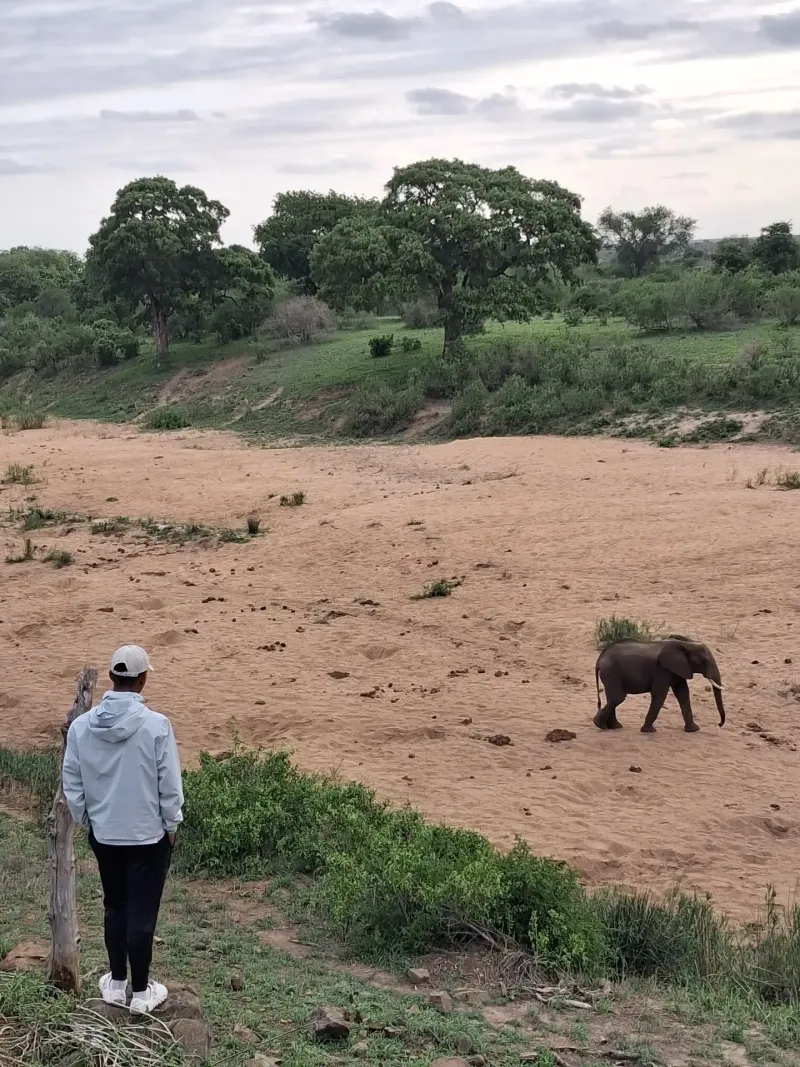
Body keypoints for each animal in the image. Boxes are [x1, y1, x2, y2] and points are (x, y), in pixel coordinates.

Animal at [593, 635, 726, 733]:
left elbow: (683, 693)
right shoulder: (662, 669)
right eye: (703, 661)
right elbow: (660, 694)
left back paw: (614, 726)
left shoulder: (678, 668)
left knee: (612, 698)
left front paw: (693, 730)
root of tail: (599, 659)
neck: (686, 644)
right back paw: (600, 725)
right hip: (611, 672)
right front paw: (648, 731)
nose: (719, 724)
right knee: (617, 697)